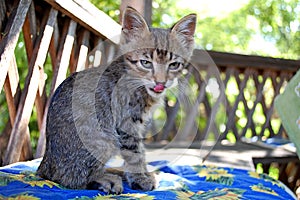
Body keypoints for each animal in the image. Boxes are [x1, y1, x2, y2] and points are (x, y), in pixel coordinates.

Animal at [37, 6, 197, 194]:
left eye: (173, 65)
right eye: (146, 63)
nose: (160, 83)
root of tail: (46, 164)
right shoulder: (127, 123)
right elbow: (136, 152)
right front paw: (141, 178)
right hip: (103, 138)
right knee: (69, 178)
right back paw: (107, 179)